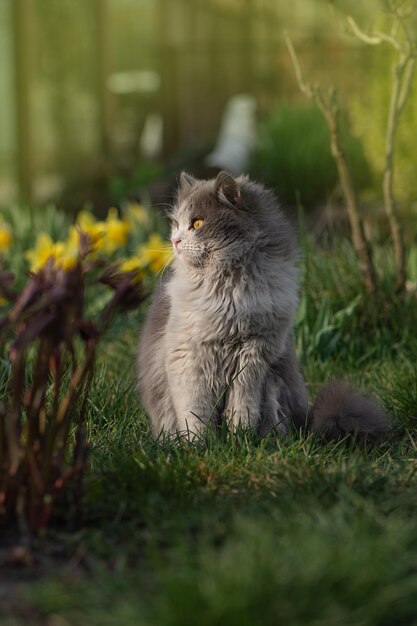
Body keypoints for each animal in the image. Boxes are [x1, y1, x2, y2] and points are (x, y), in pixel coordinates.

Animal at [138, 171, 392, 442]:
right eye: (176, 224)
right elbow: (196, 412)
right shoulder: (189, 356)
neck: (230, 289)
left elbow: (242, 406)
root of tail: (307, 422)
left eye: (197, 224)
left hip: (274, 380)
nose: (175, 240)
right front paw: (199, 444)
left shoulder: (254, 355)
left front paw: (239, 439)